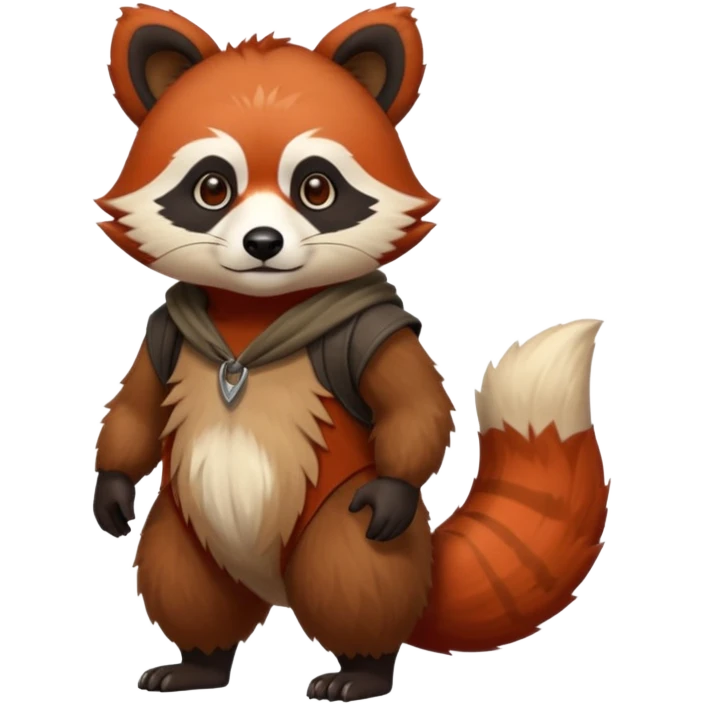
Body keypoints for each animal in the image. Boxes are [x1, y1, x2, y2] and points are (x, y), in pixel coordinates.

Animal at [92, 2, 610, 701]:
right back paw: (200, 661)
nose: (262, 242)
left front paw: (396, 483)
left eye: (316, 188)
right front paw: (112, 489)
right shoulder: (164, 333)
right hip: (186, 524)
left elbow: (416, 406)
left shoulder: (375, 330)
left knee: (353, 568)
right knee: (184, 577)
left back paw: (362, 670)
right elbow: (137, 411)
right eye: (211, 189)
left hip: (344, 527)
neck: (255, 315)